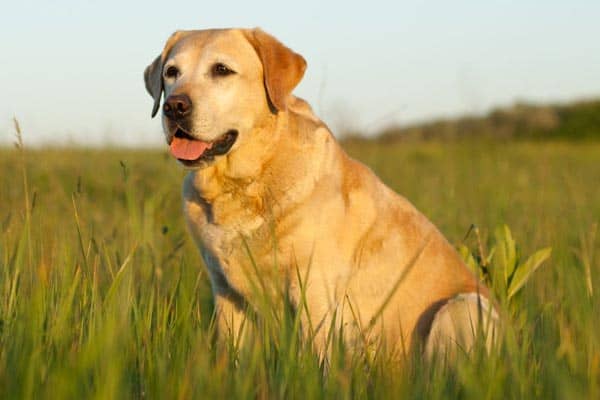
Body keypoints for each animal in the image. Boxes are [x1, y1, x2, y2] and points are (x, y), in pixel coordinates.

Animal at [144, 28, 496, 360]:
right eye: (171, 72)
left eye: (221, 70)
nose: (174, 106)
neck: (245, 182)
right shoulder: (226, 292)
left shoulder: (313, 290)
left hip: (460, 307)